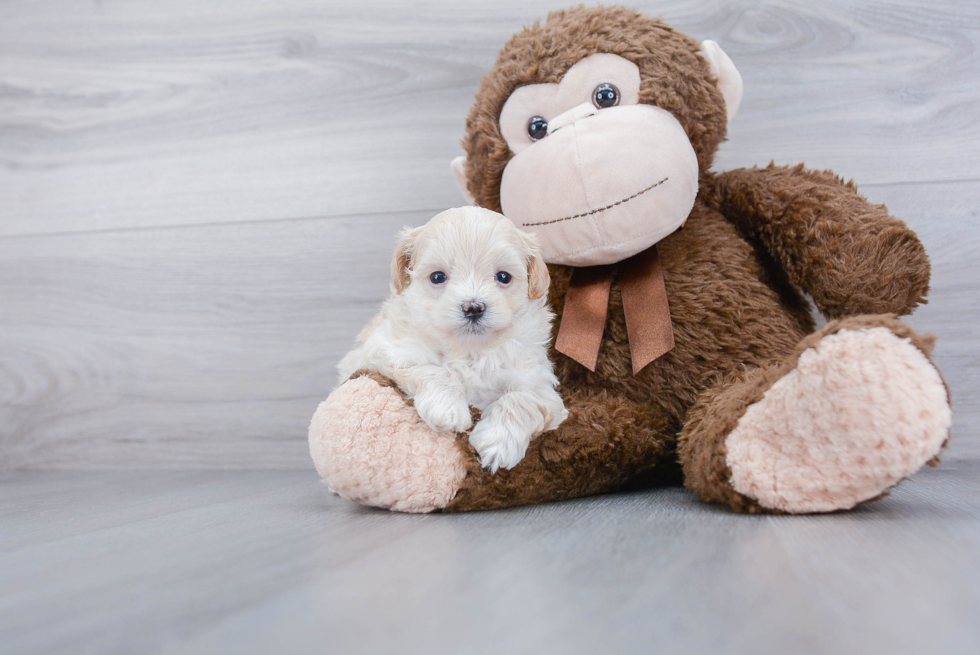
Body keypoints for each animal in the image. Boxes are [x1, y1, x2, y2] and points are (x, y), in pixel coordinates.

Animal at [336, 205, 568, 472]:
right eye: (437, 277)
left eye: (504, 277)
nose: (473, 307)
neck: (469, 350)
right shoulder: (384, 353)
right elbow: (432, 370)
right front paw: (447, 408)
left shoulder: (542, 389)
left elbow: (523, 400)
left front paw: (497, 441)